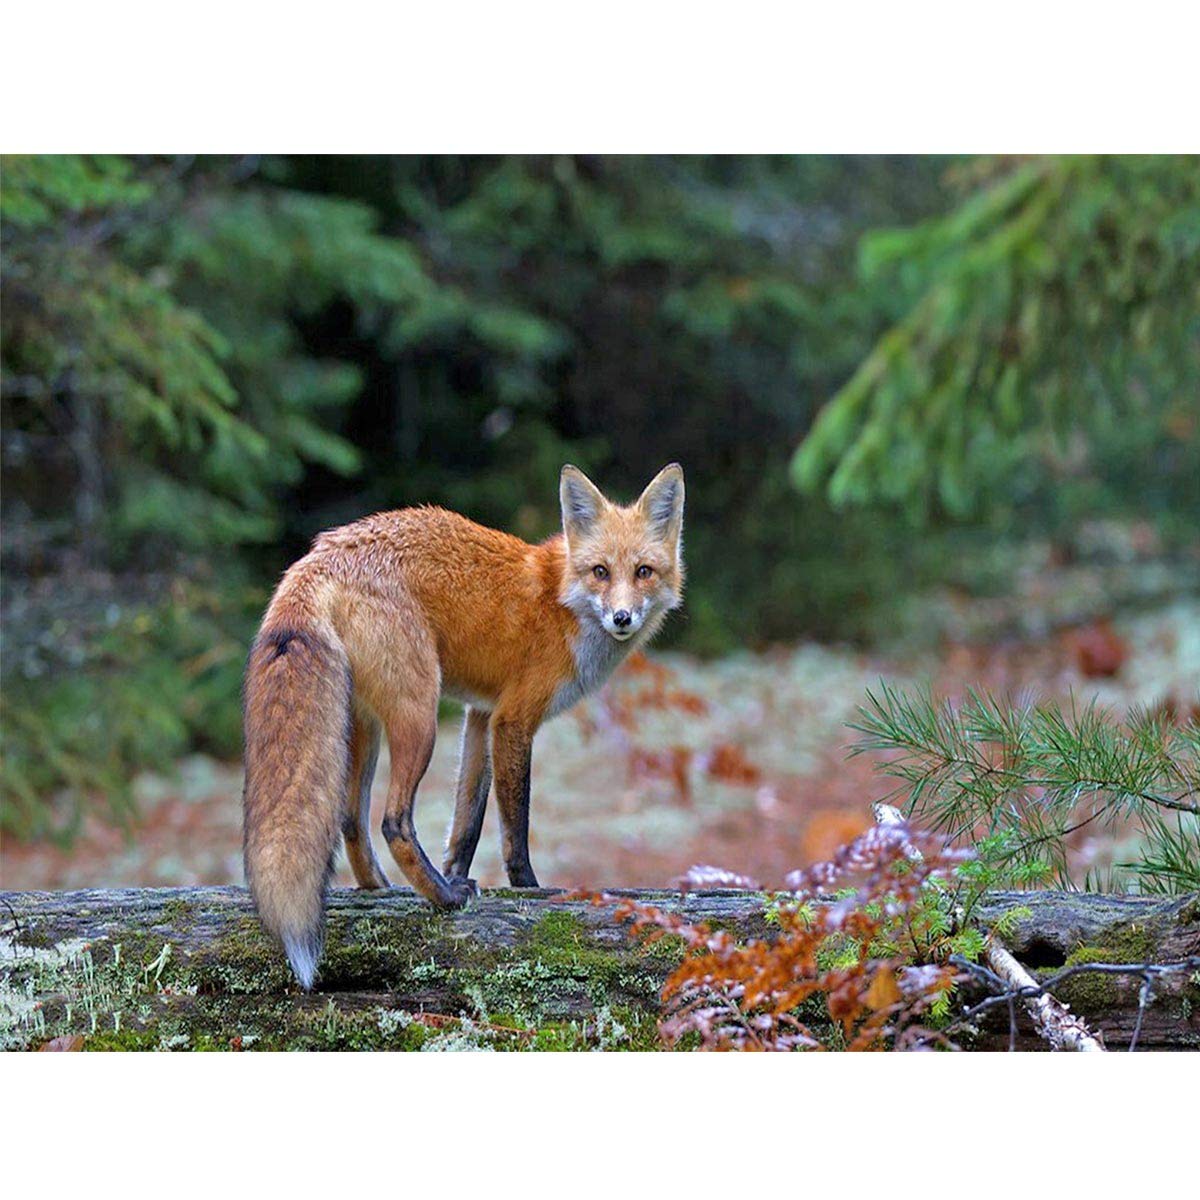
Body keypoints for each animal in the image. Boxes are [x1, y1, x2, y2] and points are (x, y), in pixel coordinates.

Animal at [242, 462, 685, 987]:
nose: (622, 617)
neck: (561, 603)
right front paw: (527, 889)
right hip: (420, 715)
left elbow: (466, 822)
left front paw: (455, 871)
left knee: (351, 820)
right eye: (601, 572)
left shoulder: (481, 716)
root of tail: (318, 556)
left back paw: (386, 890)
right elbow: (515, 825)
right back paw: (442, 898)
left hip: (365, 725)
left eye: (643, 572)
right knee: (393, 822)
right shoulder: (513, 720)